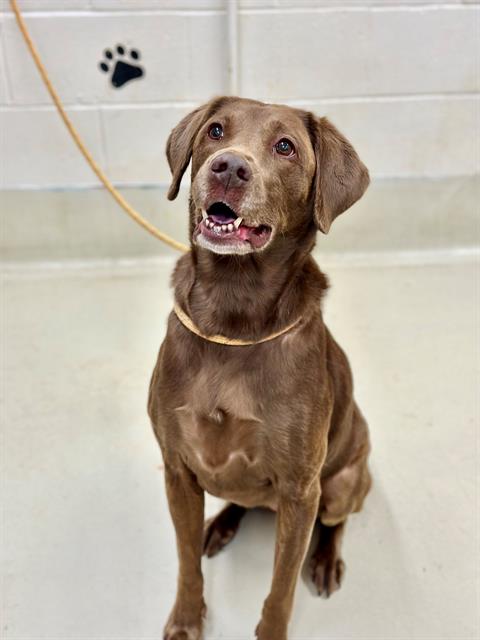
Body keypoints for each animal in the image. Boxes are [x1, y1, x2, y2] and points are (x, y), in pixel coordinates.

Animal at [148, 96, 374, 640]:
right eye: (214, 131)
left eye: (285, 146)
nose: (228, 166)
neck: (235, 312)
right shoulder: (177, 470)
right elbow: (186, 563)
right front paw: (186, 619)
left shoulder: (299, 493)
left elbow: (281, 587)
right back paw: (220, 524)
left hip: (340, 485)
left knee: (335, 522)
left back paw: (326, 560)